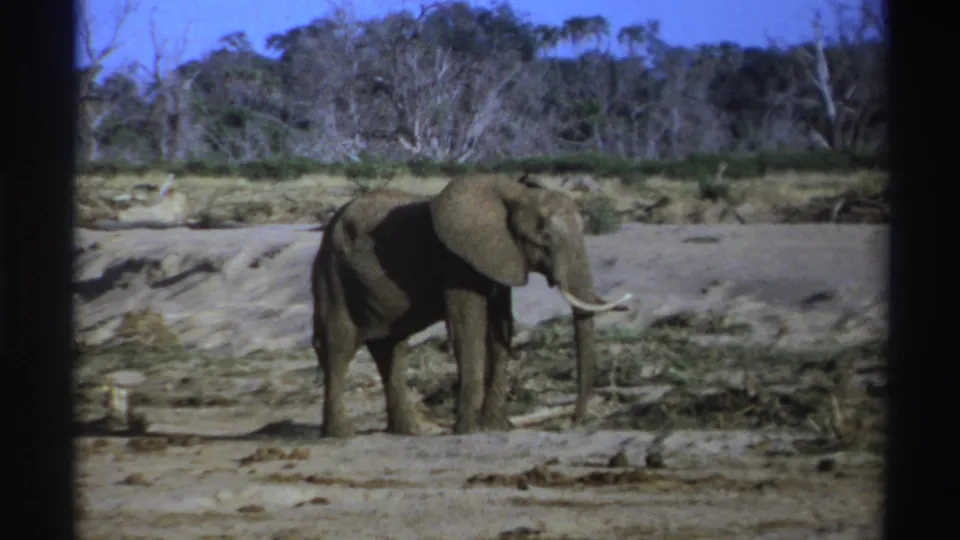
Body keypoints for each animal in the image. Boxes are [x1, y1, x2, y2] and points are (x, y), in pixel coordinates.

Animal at [310, 173, 632, 437]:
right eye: (544, 239)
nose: (574, 421)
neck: (515, 195)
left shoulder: (498, 260)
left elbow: (501, 329)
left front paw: (495, 427)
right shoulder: (457, 263)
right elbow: (469, 330)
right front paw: (468, 430)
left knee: (391, 349)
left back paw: (407, 432)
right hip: (333, 273)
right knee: (339, 346)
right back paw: (341, 435)